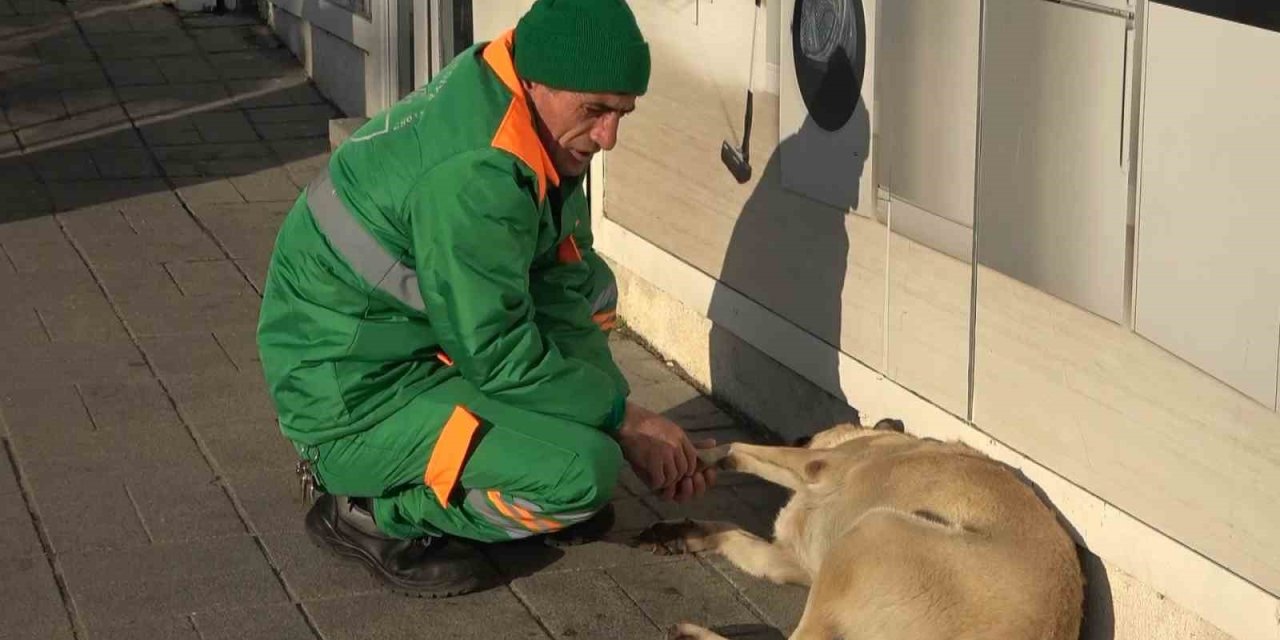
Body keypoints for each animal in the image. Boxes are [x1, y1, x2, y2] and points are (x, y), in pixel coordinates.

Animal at [629, 417, 1080, 637]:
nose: (801, 434)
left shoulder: (817, 465)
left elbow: (737, 448)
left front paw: (699, 455)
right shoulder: (787, 562)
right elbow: (732, 531)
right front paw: (684, 532)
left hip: (875, 529)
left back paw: (691, 634)